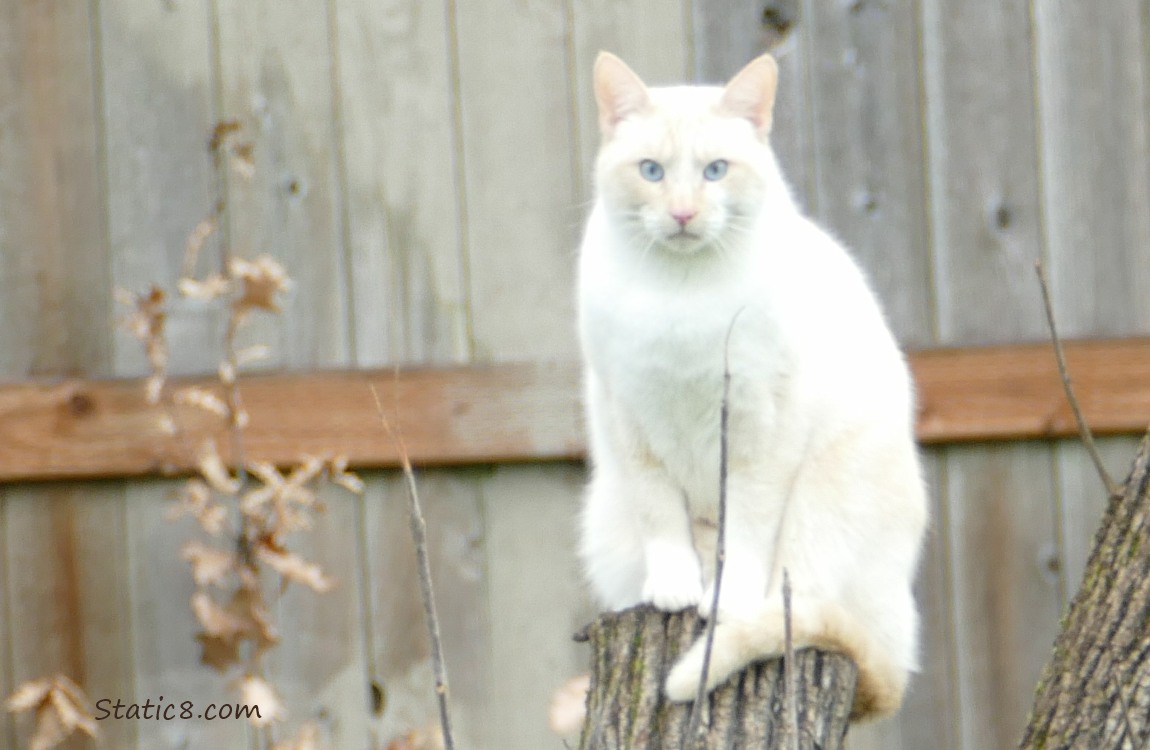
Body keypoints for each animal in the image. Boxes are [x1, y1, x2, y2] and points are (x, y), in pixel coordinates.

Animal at [579, 52, 929, 722]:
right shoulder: (627, 416)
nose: (684, 214)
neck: (682, 294)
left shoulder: (762, 426)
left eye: (715, 171)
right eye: (652, 172)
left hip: (822, 511)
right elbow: (661, 514)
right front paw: (676, 587)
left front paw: (725, 598)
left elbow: (745, 529)